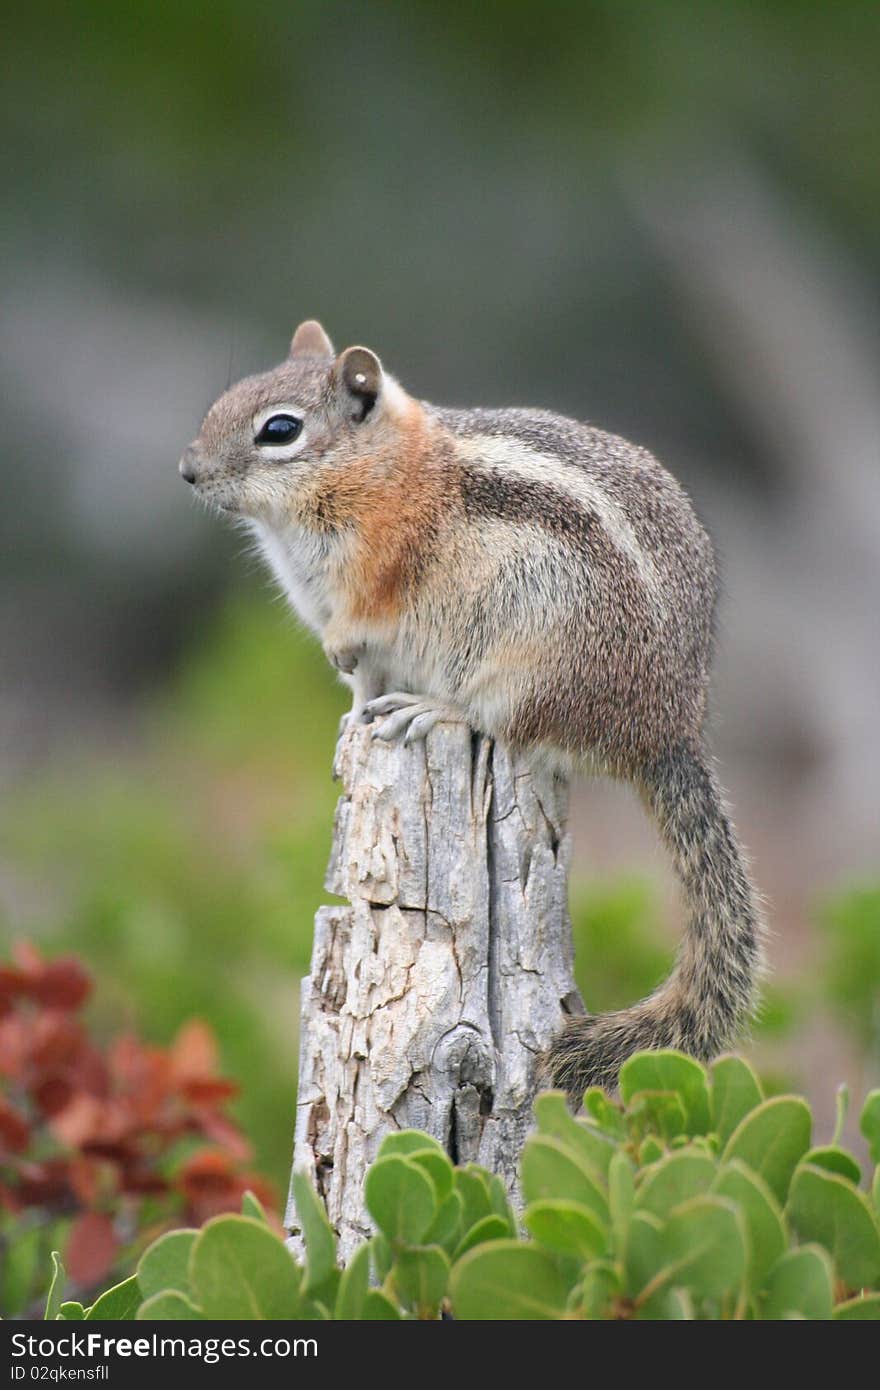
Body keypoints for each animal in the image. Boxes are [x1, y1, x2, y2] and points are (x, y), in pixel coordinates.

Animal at [177, 319, 761, 1089]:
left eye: (279, 430)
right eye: (228, 399)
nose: (187, 470)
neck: (382, 467)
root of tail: (669, 728)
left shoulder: (376, 577)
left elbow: (360, 621)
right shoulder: (368, 643)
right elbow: (359, 684)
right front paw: (348, 726)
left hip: (535, 666)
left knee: (507, 725)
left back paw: (437, 711)